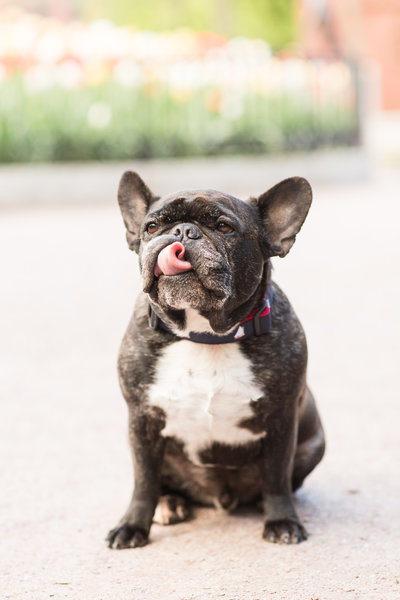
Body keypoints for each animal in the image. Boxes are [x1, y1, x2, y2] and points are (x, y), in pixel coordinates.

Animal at [107, 172, 324, 548]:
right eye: (151, 226)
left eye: (224, 227)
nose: (181, 231)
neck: (205, 335)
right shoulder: (141, 420)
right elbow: (144, 481)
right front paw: (133, 525)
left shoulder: (282, 419)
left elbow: (277, 477)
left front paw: (282, 520)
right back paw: (169, 504)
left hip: (314, 441)